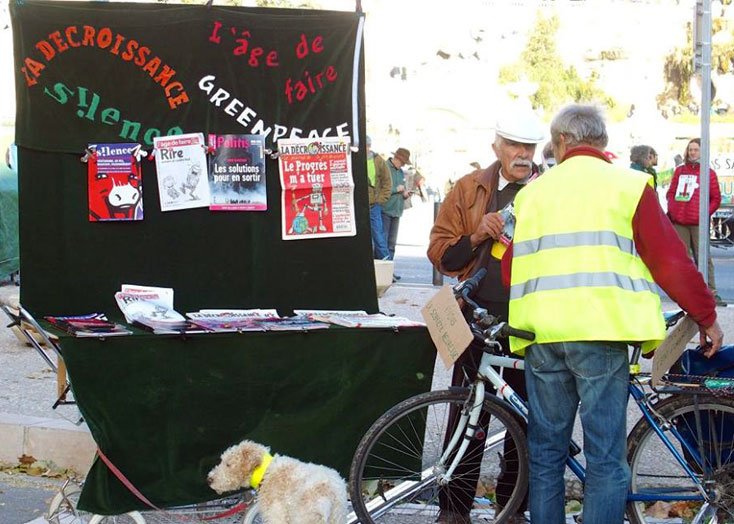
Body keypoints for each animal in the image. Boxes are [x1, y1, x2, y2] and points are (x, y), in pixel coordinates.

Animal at [206, 438, 346, 524]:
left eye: (228, 464)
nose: (209, 479)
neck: (266, 472)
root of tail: (329, 496)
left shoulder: (276, 515)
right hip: (337, 518)